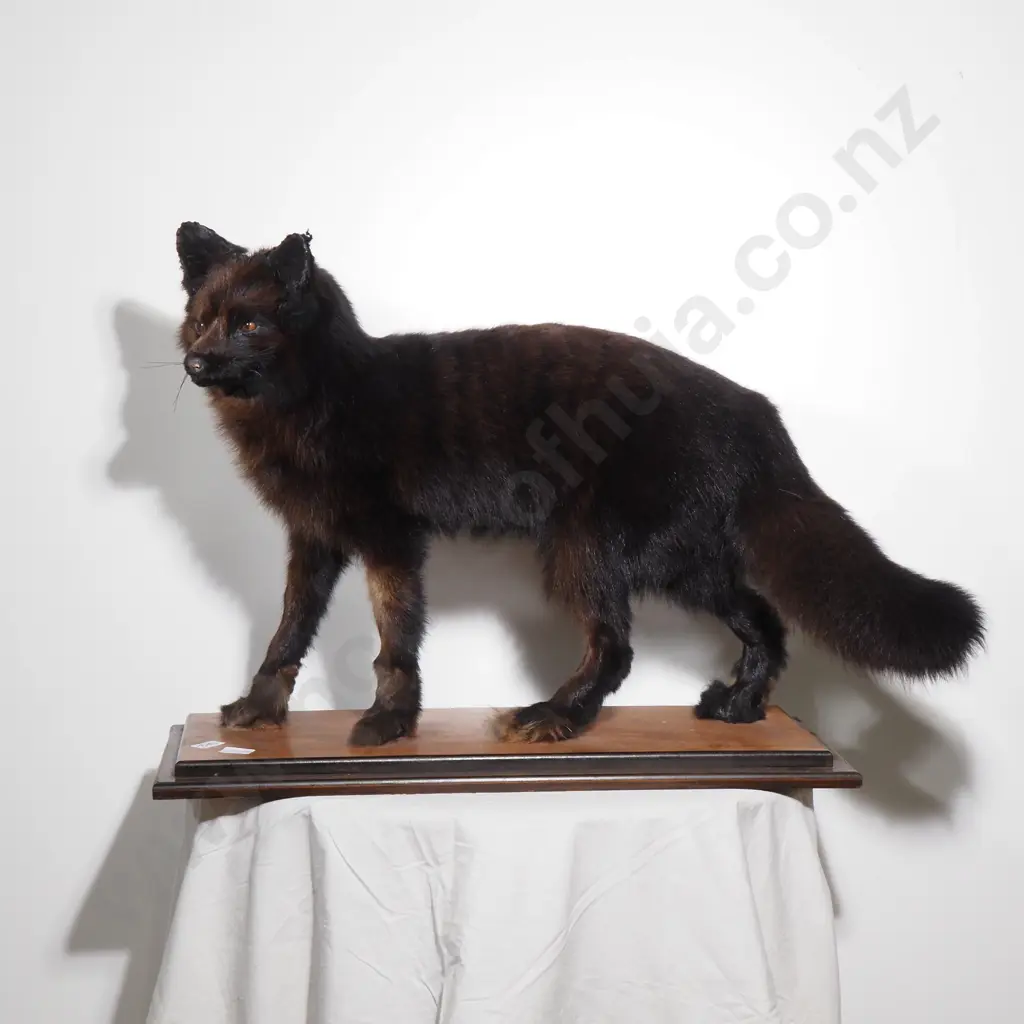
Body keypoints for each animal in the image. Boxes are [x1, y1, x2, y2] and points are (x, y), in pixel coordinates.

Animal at [175, 222, 984, 746]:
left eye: (250, 325)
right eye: (201, 318)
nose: (195, 363)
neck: (326, 396)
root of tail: (755, 411)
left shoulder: (390, 541)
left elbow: (394, 641)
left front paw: (388, 723)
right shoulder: (313, 542)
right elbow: (287, 631)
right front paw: (257, 711)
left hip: (589, 551)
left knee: (618, 648)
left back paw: (551, 717)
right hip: (685, 562)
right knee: (765, 620)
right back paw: (737, 707)